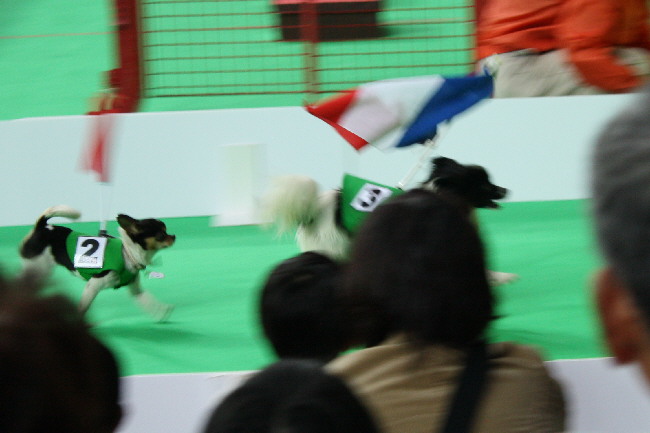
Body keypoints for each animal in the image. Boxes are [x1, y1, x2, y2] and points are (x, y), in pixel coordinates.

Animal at [19, 205, 176, 321]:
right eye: (161, 235)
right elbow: (83, 307)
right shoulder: (92, 286)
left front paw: (160, 311)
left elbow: (147, 300)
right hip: (39, 268)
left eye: (166, 230)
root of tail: (42, 227)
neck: (127, 253)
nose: (173, 236)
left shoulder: (135, 290)